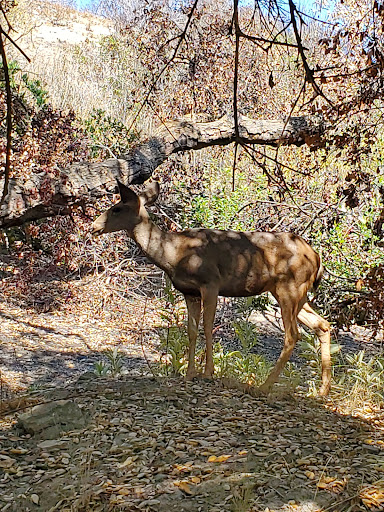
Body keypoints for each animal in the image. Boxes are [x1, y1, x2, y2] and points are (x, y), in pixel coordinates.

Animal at [91, 180, 332, 396]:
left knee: (293, 334)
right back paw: (321, 391)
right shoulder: (189, 292)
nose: (94, 227)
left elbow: (207, 327)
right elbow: (191, 330)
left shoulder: (211, 283)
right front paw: (189, 373)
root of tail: (317, 258)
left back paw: (263, 387)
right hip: (292, 293)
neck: (173, 254)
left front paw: (208, 372)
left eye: (117, 208)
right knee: (322, 325)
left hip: (289, 287)